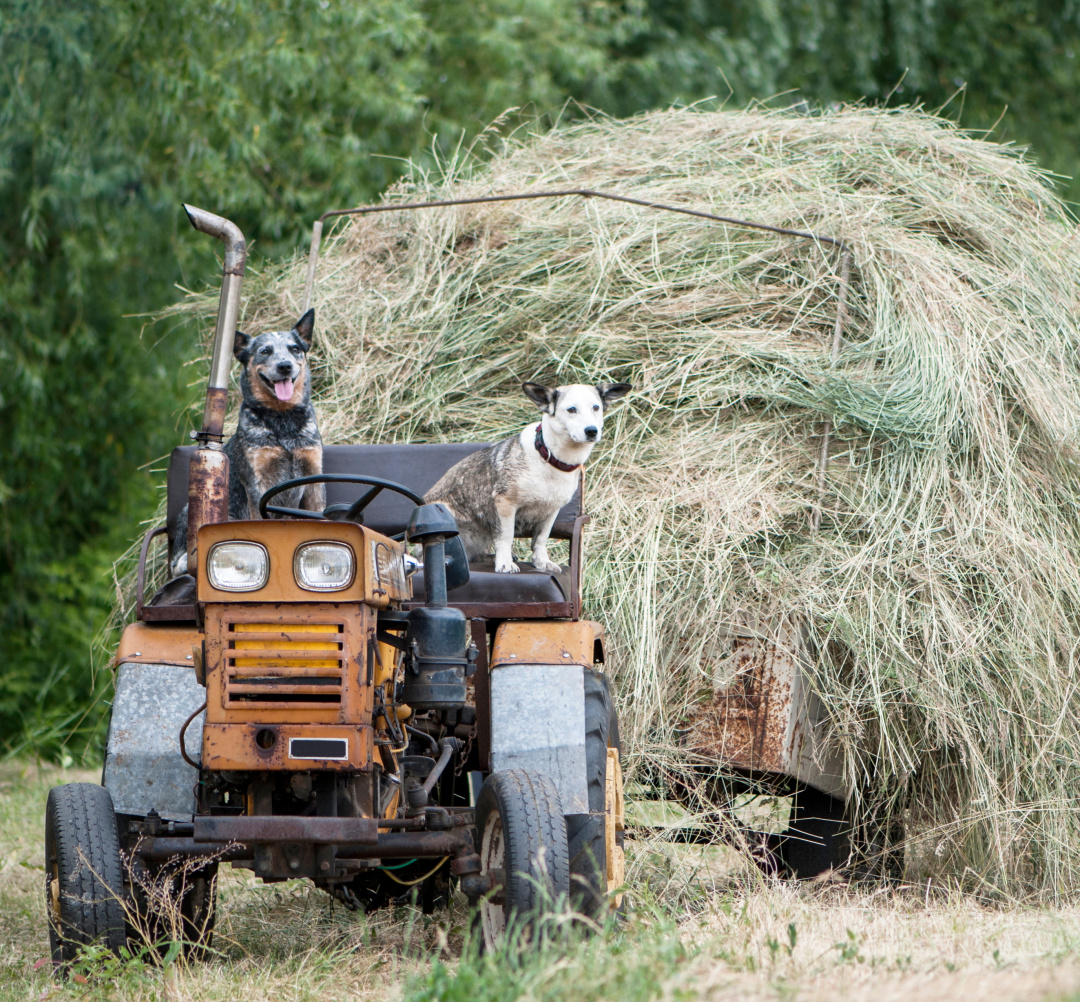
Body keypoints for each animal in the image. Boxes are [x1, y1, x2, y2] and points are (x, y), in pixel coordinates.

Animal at [170, 306, 321, 570]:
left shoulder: (313, 475)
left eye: (295, 348)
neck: (283, 423)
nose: (284, 366)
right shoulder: (257, 482)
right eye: (265, 351)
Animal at [421, 382, 630, 570]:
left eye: (596, 408)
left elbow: (541, 540)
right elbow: (506, 537)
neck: (549, 458)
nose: (592, 431)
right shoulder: (505, 504)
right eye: (571, 409)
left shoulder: (550, 511)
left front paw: (541, 562)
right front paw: (505, 564)